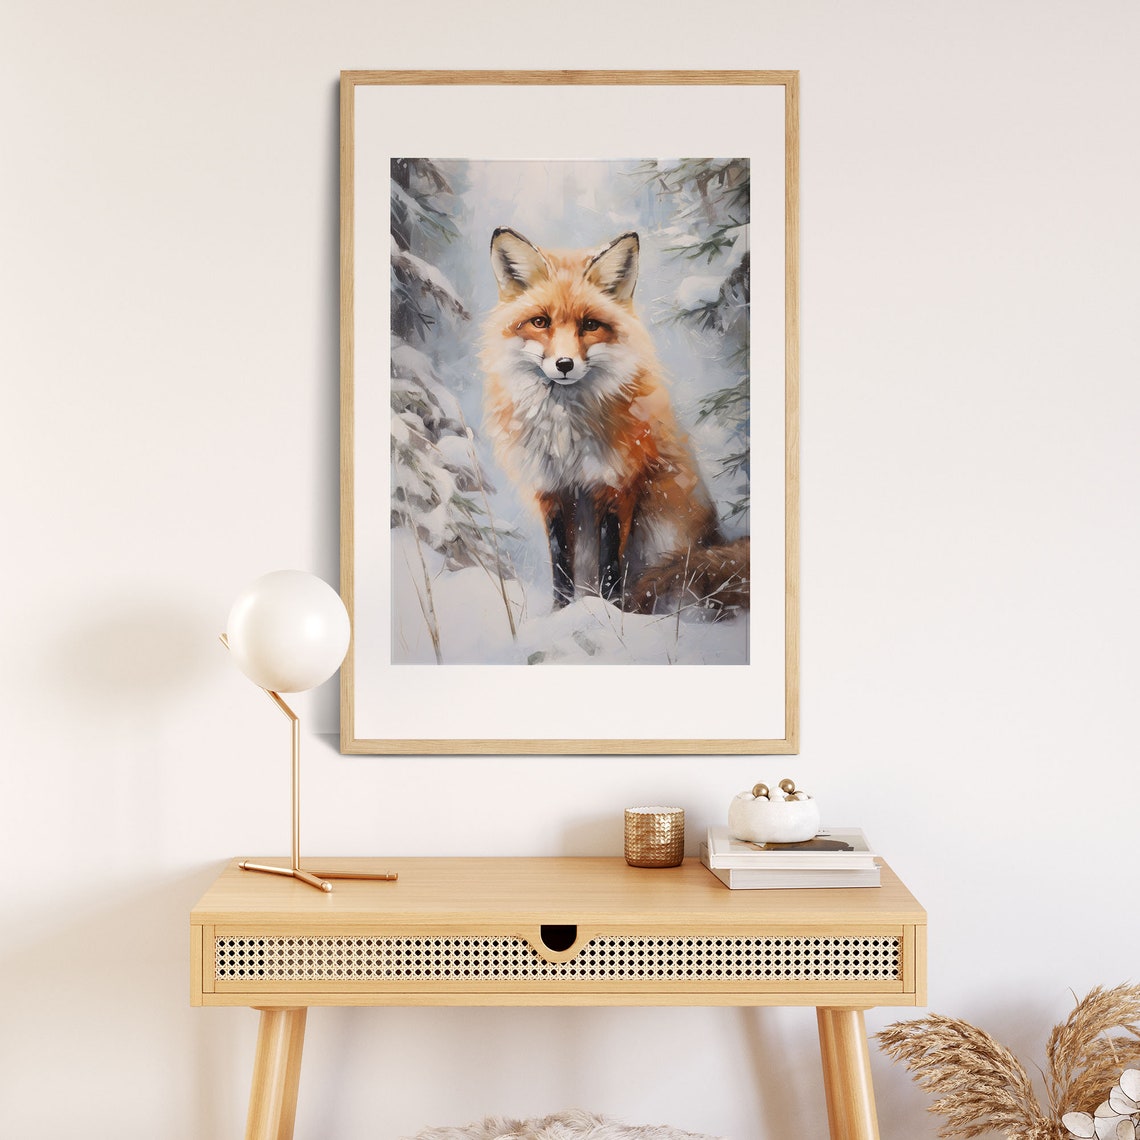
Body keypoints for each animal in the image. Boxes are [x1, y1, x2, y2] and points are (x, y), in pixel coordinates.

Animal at [480, 226, 749, 616]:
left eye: (590, 325)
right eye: (540, 322)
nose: (564, 364)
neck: (567, 435)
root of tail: (715, 537)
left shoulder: (617, 484)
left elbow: (611, 567)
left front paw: (611, 615)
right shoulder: (552, 491)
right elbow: (561, 565)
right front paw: (561, 614)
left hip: (662, 529)